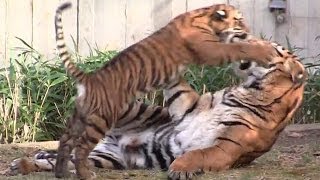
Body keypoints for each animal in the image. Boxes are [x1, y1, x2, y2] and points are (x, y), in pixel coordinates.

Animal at [8, 43, 306, 179]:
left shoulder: (226, 148)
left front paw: (179, 168)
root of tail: (113, 142)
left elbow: (197, 153)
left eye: (275, 49)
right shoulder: (188, 106)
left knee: (65, 157)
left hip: (103, 158)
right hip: (134, 110)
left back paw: (24, 163)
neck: (249, 91)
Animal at [54, 1, 278, 179]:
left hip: (79, 118)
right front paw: (263, 50)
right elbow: (236, 48)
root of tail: (88, 79)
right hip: (102, 119)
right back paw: (84, 174)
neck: (206, 17)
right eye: (239, 20)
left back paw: (61, 173)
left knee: (65, 142)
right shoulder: (211, 49)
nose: (247, 30)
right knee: (80, 148)